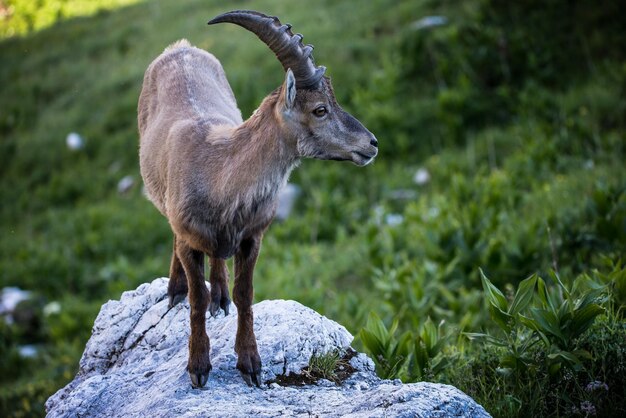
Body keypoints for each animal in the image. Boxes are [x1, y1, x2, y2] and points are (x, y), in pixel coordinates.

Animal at [137, 9, 378, 388]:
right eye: (320, 109)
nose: (372, 143)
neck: (221, 178)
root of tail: (181, 47)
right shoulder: (190, 238)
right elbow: (196, 297)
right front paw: (198, 366)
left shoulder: (252, 237)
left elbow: (245, 293)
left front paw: (250, 362)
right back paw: (176, 288)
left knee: (219, 262)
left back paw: (220, 294)